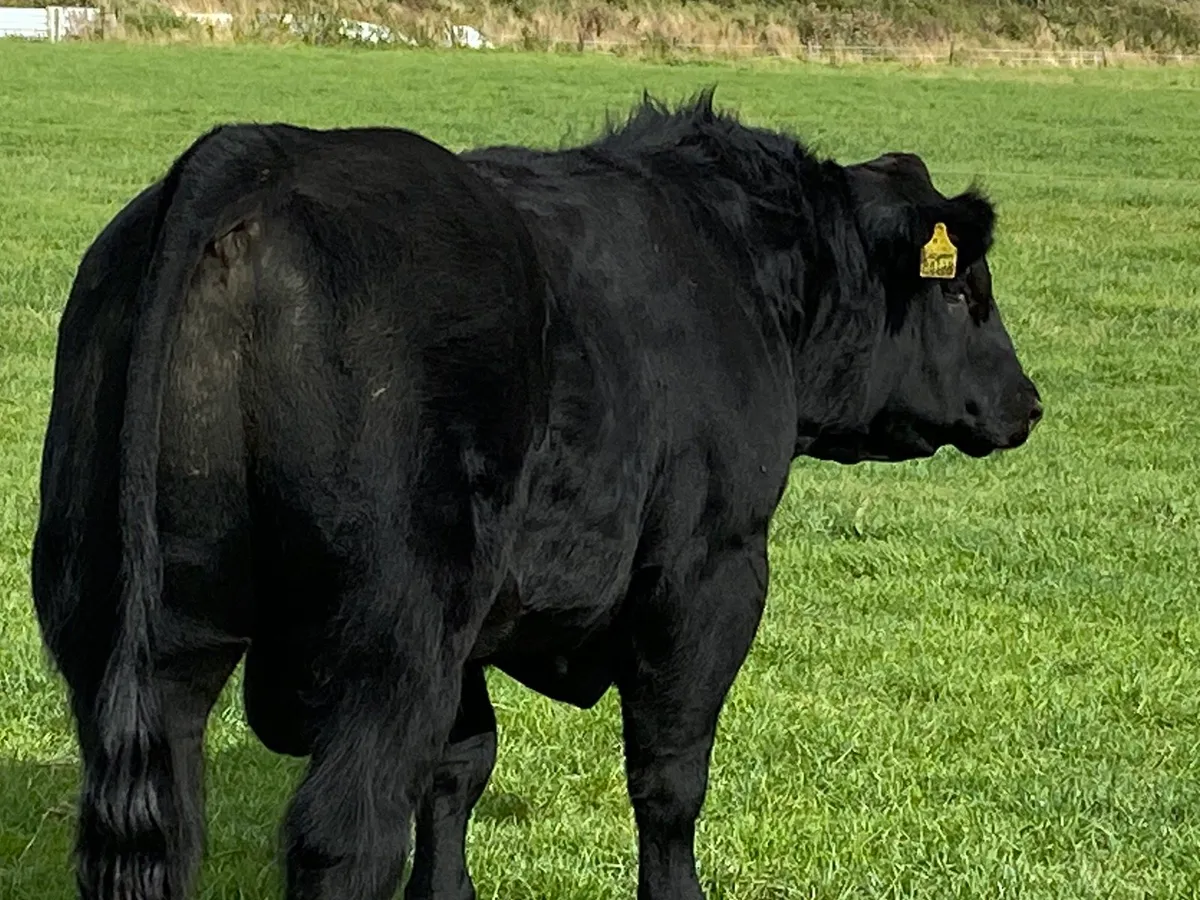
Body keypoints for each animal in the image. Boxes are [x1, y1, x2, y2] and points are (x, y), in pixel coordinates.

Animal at [28, 93, 1041, 900]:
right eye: (966, 295)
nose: (1029, 403)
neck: (736, 263)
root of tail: (257, 153)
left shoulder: (478, 625)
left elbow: (459, 767)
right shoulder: (708, 569)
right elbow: (670, 777)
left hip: (137, 619)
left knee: (165, 822)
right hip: (387, 637)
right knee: (343, 838)